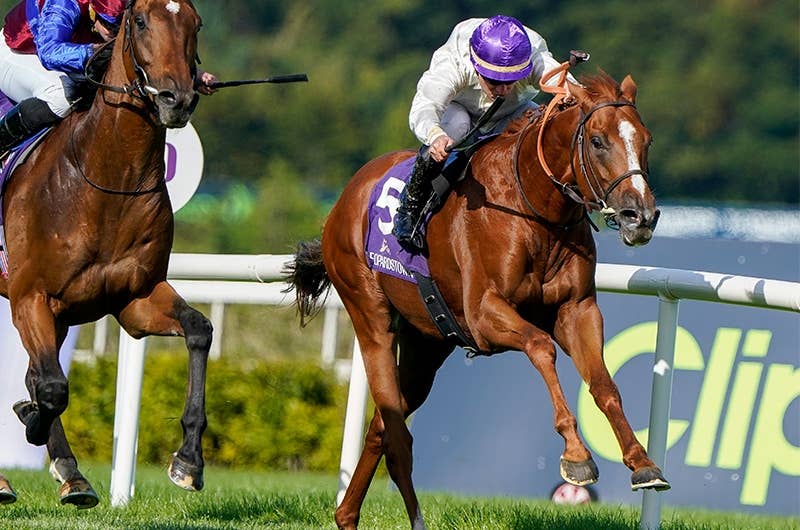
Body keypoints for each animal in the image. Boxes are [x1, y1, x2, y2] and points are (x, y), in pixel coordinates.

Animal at [0, 0, 211, 508]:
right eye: (141, 21)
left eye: (195, 24)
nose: (177, 99)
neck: (109, 181)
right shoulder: (29, 297)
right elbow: (51, 387)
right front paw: (30, 422)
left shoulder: (135, 298)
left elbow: (200, 330)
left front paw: (188, 461)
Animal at [286, 64, 668, 529]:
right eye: (597, 141)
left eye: (646, 139)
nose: (641, 217)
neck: (532, 206)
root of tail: (348, 194)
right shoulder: (485, 316)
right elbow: (541, 347)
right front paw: (577, 456)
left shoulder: (577, 310)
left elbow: (603, 383)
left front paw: (642, 463)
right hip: (370, 315)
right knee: (398, 438)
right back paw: (413, 520)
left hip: (427, 344)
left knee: (382, 424)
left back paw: (346, 514)